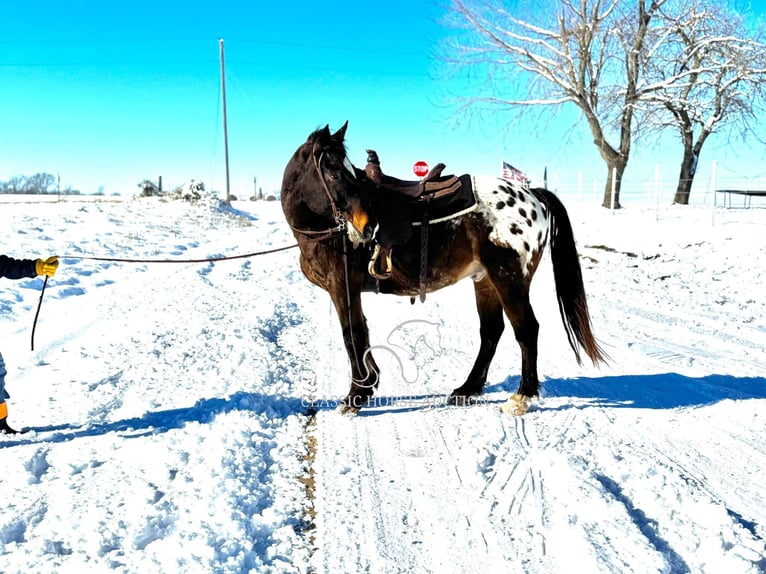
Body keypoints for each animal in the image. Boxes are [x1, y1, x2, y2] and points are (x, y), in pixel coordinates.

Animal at [280, 124, 608, 416]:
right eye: (334, 172)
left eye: (349, 173)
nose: (368, 228)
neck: (322, 229)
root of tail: (535, 197)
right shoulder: (348, 288)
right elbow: (362, 332)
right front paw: (369, 385)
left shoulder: (342, 285)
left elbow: (352, 334)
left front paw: (355, 397)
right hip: (486, 281)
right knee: (492, 331)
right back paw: (468, 389)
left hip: (509, 280)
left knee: (526, 329)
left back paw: (521, 398)